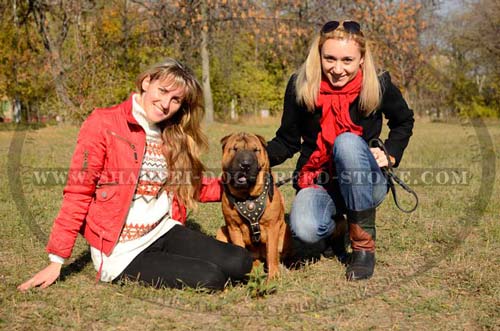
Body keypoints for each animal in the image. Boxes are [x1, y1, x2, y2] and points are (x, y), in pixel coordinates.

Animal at [217, 132, 292, 280]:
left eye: (255, 150)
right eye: (234, 149)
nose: (245, 164)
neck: (248, 197)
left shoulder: (272, 226)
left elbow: (272, 253)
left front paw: (273, 277)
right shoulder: (233, 227)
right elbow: (240, 248)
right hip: (221, 231)